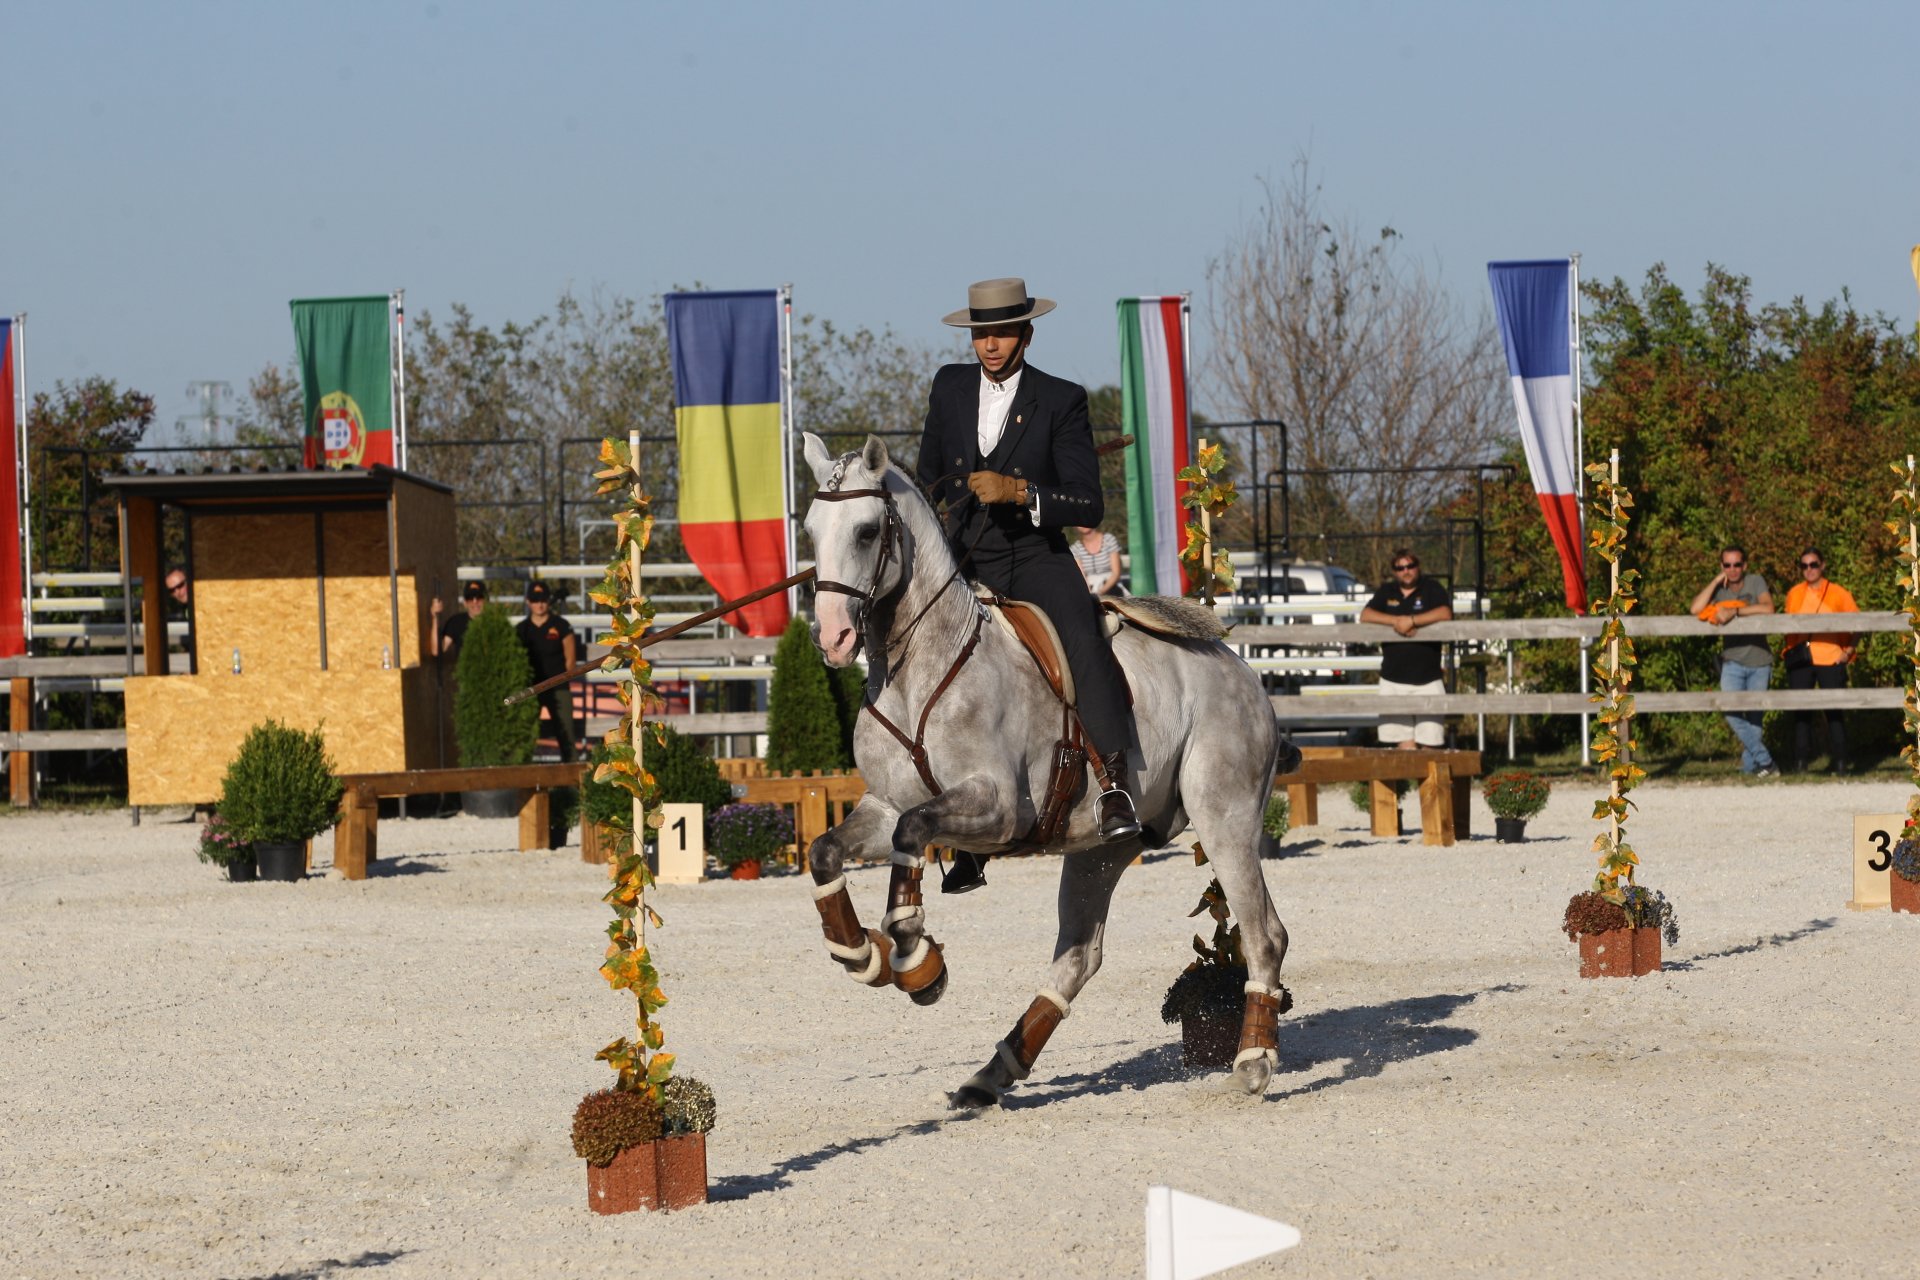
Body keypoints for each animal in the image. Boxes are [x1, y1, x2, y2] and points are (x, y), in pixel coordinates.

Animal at [802, 435, 1297, 1105]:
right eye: (809, 530)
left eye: (866, 530)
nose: (831, 637)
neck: (919, 668)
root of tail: (1236, 664)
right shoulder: (883, 805)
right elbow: (828, 850)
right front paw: (862, 955)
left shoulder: (999, 807)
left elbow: (912, 831)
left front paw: (913, 956)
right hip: (1099, 848)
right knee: (1079, 954)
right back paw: (992, 1073)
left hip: (1225, 817)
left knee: (1263, 932)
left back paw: (1252, 1061)